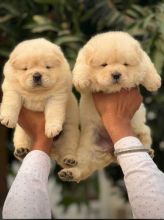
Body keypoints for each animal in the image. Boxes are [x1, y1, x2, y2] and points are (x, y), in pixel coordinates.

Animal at [0, 38, 79, 168]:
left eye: (47, 67)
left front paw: (52, 129)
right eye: (25, 69)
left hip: (70, 133)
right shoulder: (12, 88)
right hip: (21, 132)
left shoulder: (57, 96)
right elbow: (12, 102)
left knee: (68, 149)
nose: (37, 75)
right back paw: (21, 151)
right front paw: (7, 119)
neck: (37, 93)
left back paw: (70, 160)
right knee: (22, 143)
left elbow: (53, 112)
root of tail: (52, 152)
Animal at [58, 31, 161, 182]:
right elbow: (81, 68)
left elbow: (148, 65)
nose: (116, 74)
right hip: (88, 151)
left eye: (125, 64)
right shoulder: (83, 59)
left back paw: (149, 151)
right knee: (82, 167)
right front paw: (81, 80)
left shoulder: (142, 58)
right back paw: (69, 172)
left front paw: (155, 82)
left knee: (144, 139)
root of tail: (111, 153)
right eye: (104, 65)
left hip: (142, 131)